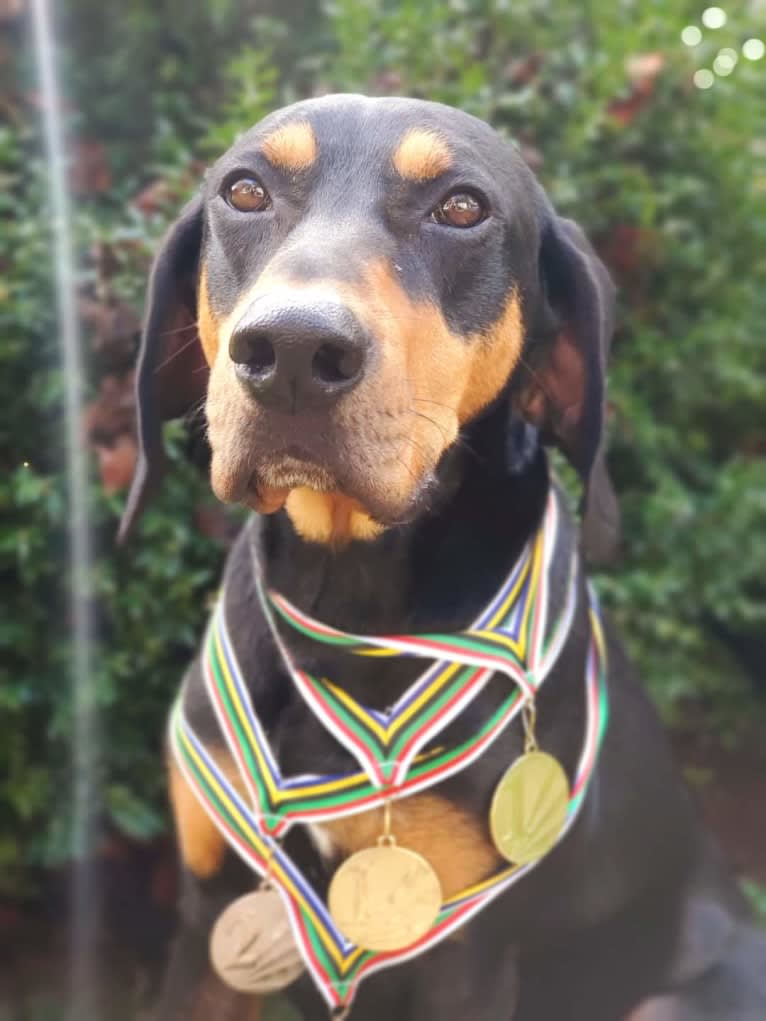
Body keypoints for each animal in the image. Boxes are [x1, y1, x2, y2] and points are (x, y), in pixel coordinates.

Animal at [123, 95, 766, 1021]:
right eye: (243, 190)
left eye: (461, 207)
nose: (290, 350)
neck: (347, 601)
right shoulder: (211, 921)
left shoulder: (463, 957)